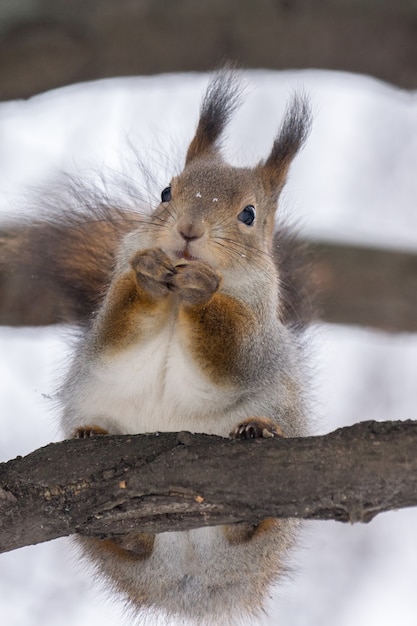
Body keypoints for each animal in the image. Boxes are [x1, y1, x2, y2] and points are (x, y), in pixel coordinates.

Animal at [0, 70, 312, 620]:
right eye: (166, 191)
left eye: (249, 214)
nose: (188, 230)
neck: (173, 306)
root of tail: (191, 582)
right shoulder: (109, 331)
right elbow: (112, 335)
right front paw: (146, 273)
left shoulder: (257, 333)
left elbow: (231, 354)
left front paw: (203, 288)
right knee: (128, 544)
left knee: (253, 528)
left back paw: (256, 443)